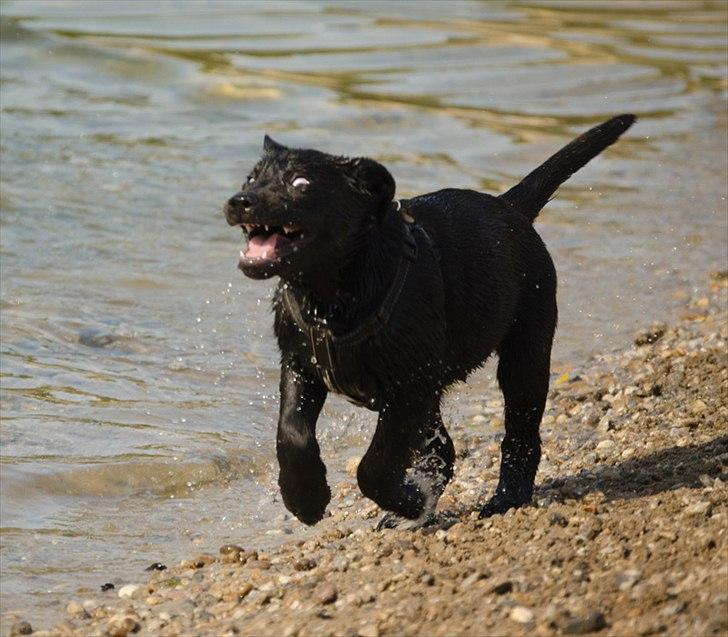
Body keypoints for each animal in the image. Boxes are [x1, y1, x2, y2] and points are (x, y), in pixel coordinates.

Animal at [225, 115, 636, 528]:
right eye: (250, 179)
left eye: (301, 184)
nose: (239, 202)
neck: (329, 301)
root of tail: (510, 207)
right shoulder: (302, 366)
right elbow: (292, 434)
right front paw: (306, 499)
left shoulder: (409, 388)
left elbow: (375, 467)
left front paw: (410, 500)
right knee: (445, 447)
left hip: (525, 352)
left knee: (520, 433)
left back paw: (506, 498)